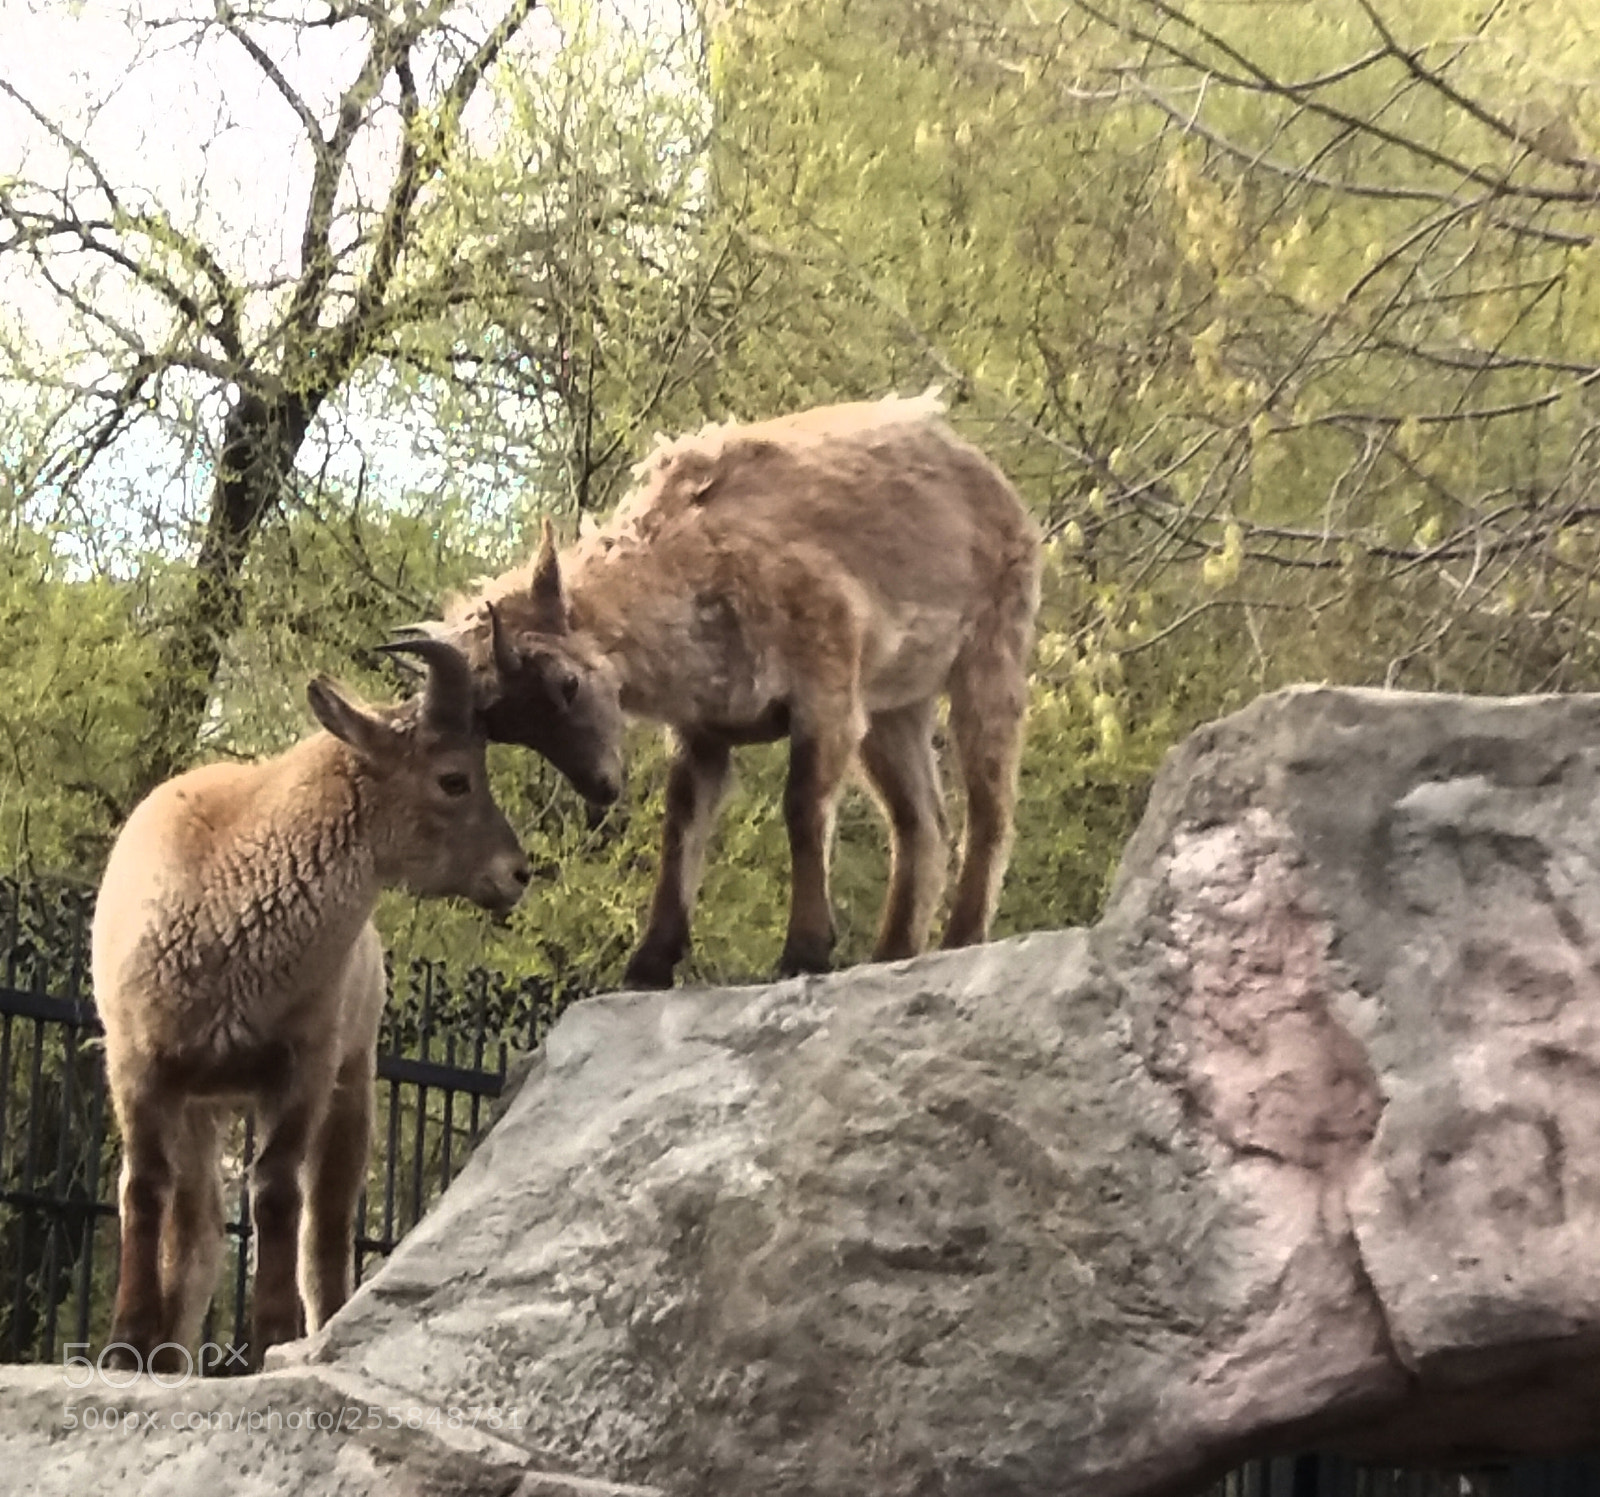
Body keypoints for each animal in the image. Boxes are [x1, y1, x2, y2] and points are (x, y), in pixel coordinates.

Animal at [91, 640, 531, 1371]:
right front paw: (125, 1345)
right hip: (203, 1106)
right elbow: (144, 1186)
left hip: (351, 1086)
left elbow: (276, 1193)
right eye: (454, 778)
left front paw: (271, 1334)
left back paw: (314, 1332)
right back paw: (171, 1355)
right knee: (198, 1234)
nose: (518, 872)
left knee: (323, 1235)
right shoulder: (139, 1062)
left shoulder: (304, 1065)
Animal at [437, 392, 1041, 988]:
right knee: (922, 824)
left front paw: (804, 952)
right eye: (509, 727)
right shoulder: (702, 731)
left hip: (990, 649)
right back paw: (891, 954)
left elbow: (801, 807)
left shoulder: (825, 689)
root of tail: (994, 485)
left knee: (991, 808)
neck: (694, 573)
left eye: (567, 683)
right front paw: (648, 966)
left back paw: (962, 937)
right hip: (896, 708)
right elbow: (682, 825)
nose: (602, 787)